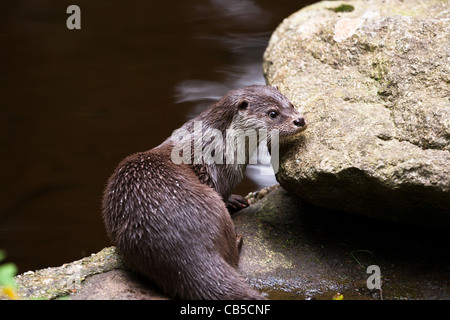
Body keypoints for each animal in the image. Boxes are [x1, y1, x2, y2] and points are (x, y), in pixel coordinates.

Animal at [102, 85, 306, 300]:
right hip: (214, 206)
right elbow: (223, 192)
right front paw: (234, 200)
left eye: (291, 104)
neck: (225, 141)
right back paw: (237, 240)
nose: (299, 120)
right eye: (272, 113)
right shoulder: (221, 171)